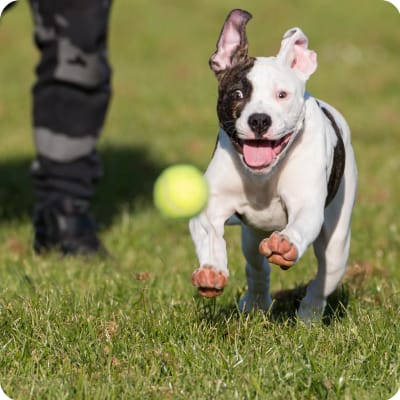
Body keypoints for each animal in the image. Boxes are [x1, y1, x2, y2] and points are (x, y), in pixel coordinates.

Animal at [189, 8, 358, 322]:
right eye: (238, 94)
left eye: (282, 95)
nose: (259, 120)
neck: (262, 177)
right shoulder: (211, 207)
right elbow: (209, 233)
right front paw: (212, 270)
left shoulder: (307, 205)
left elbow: (301, 223)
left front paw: (285, 244)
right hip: (251, 236)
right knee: (257, 267)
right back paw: (255, 303)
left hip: (338, 240)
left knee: (325, 277)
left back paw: (309, 316)